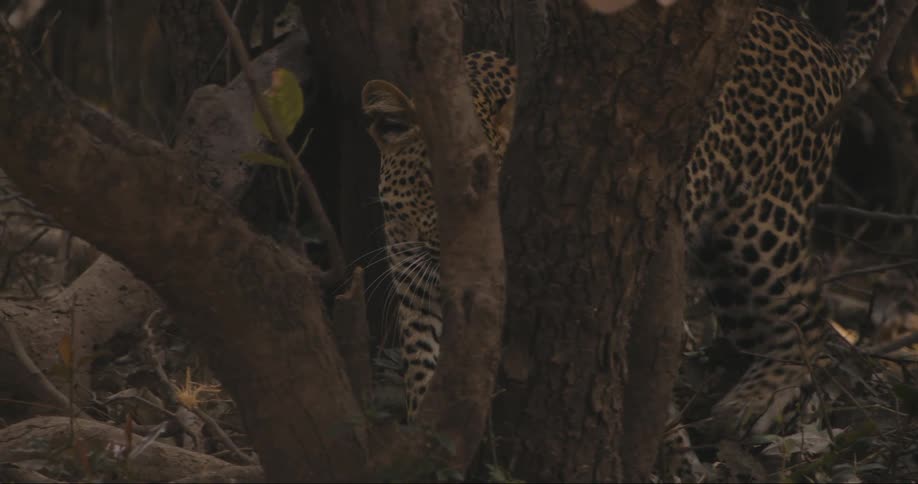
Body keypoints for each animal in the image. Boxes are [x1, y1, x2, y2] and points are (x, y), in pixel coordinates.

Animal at [360, 0, 886, 472]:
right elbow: (429, 365)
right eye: (433, 182)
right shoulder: (416, 282)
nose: (477, 250)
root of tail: (824, 47)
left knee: (808, 321)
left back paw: (755, 405)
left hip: (759, 228)